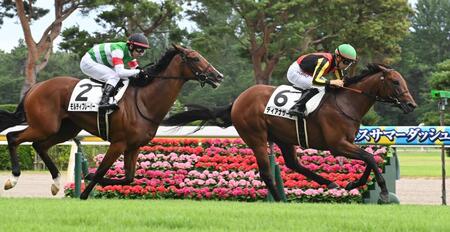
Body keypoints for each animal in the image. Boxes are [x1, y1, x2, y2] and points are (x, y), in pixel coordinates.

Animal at [0, 44, 224, 199]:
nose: (218, 76)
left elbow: (128, 178)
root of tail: (35, 87)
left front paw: (88, 179)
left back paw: (55, 183)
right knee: (13, 137)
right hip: (44, 125)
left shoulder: (134, 146)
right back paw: (13, 179)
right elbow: (101, 171)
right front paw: (85, 191)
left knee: (39, 145)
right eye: (194, 58)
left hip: (66, 129)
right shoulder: (118, 143)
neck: (144, 101)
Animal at [163, 63, 416, 203]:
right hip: (256, 137)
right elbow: (369, 157)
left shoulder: (347, 143)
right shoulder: (337, 144)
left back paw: (330, 184)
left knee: (294, 164)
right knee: (266, 172)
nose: (411, 104)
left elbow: (368, 159)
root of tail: (238, 100)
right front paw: (383, 192)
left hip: (284, 138)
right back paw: (278, 200)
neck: (346, 102)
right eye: (395, 82)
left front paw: (353, 183)